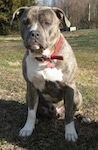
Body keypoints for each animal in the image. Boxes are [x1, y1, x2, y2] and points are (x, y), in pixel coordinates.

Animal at [10, 5, 82, 142]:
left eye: (47, 23)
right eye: (25, 22)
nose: (34, 33)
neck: (45, 57)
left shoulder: (69, 88)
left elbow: (69, 114)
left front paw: (70, 133)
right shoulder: (31, 87)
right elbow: (31, 112)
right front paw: (28, 128)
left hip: (78, 95)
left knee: (73, 112)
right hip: (28, 96)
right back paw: (37, 120)